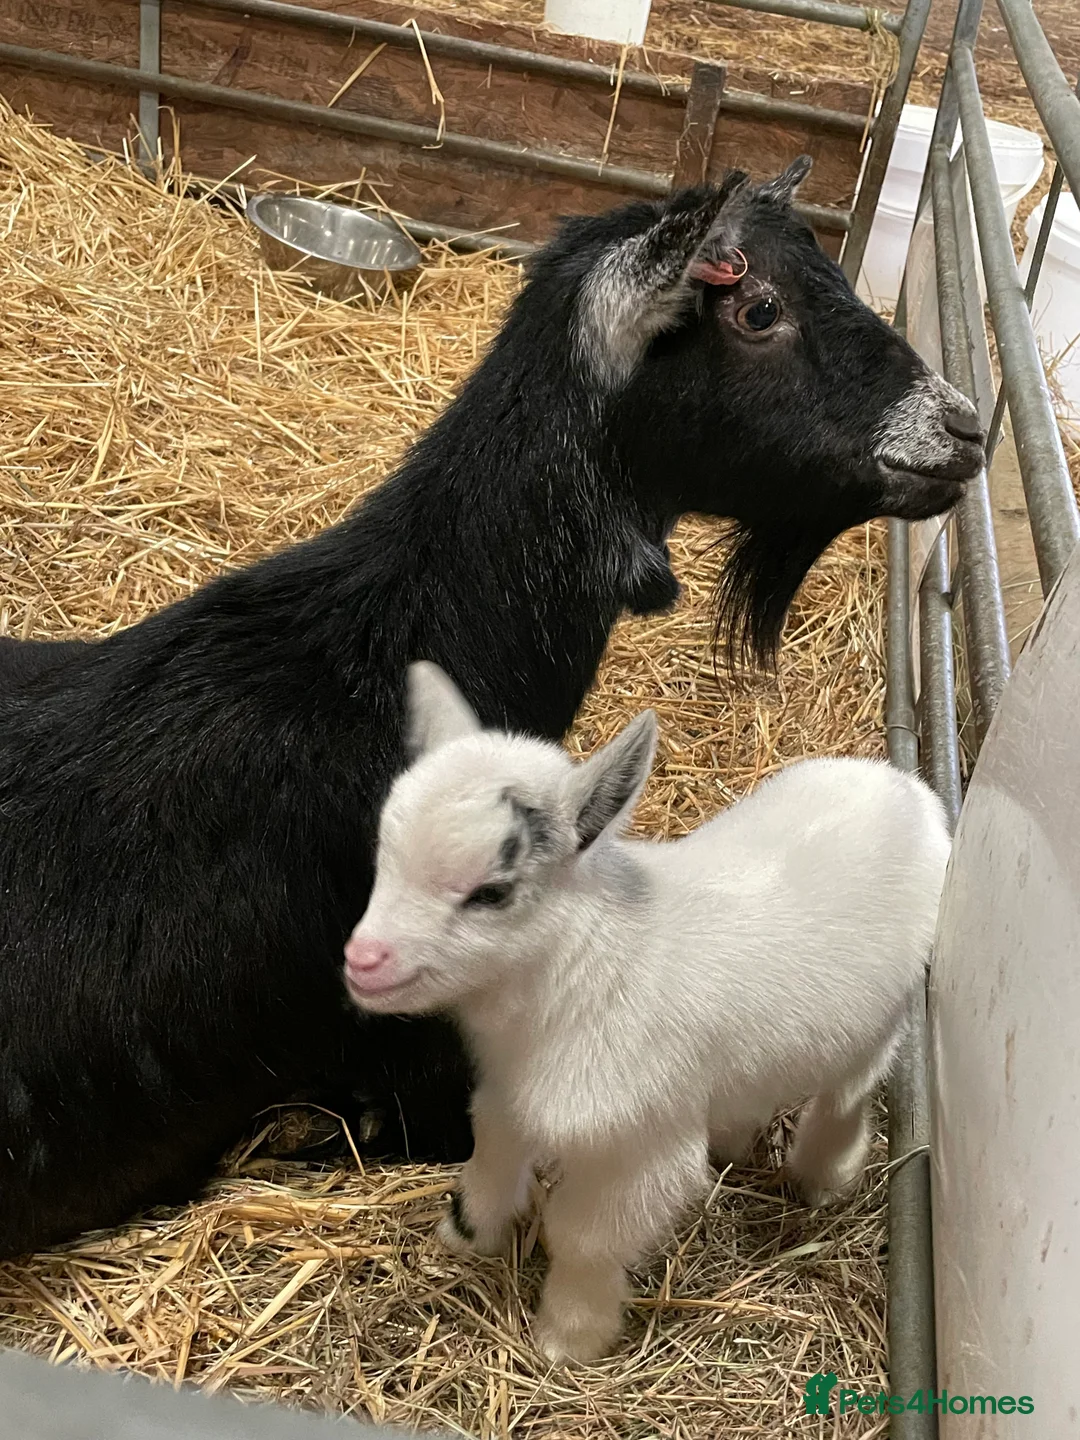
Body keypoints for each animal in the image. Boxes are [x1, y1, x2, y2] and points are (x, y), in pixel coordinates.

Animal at [345, 662, 952, 1364]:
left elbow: (583, 1237)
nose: (363, 961)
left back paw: (825, 1173)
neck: (583, 970)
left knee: (850, 1088)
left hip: (885, 1011)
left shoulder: (638, 1145)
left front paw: (569, 1337)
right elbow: (490, 1153)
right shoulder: (511, 1091)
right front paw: (466, 1234)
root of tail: (908, 788)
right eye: (384, 855)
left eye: (490, 893)